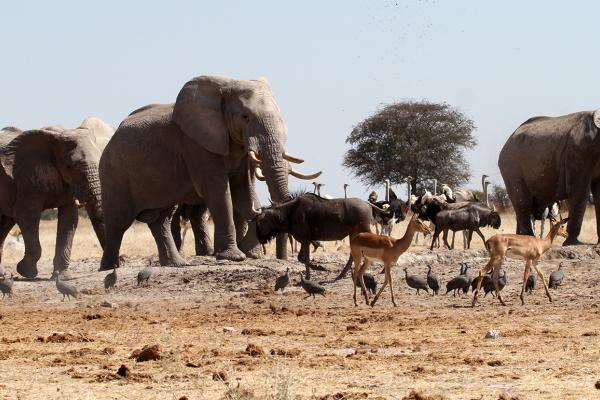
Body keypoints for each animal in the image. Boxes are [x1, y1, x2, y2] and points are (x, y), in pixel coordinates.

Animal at [0, 126, 104, 276]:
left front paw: (63, 275)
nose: (106, 267)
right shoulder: (27, 177)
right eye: (70, 166)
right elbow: (27, 215)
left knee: (5, 224)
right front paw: (26, 272)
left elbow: (69, 218)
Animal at [100, 74, 322, 268]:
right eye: (245, 117)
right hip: (114, 173)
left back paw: (176, 264)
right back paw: (109, 268)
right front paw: (234, 257)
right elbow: (218, 189)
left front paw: (246, 253)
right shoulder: (196, 144)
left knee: (160, 219)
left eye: (281, 118)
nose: (261, 210)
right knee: (117, 223)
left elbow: (242, 189)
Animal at [496, 108, 600, 244]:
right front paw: (573, 243)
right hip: (511, 168)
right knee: (523, 204)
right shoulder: (579, 150)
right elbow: (579, 189)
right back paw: (528, 238)